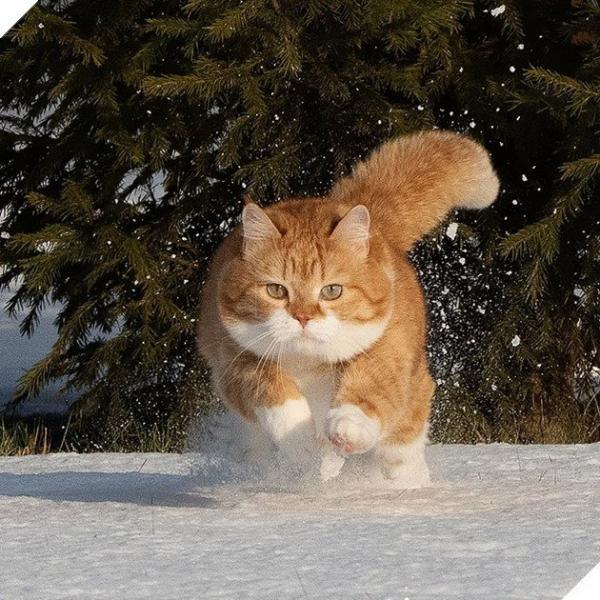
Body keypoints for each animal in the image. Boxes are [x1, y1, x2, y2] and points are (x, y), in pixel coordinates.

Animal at [199, 131, 500, 488]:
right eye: (276, 290)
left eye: (332, 290)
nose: (303, 317)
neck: (309, 364)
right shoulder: (235, 362)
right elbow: (276, 397)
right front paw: (307, 450)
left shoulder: (387, 348)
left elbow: (372, 386)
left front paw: (347, 428)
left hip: (411, 381)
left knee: (403, 438)